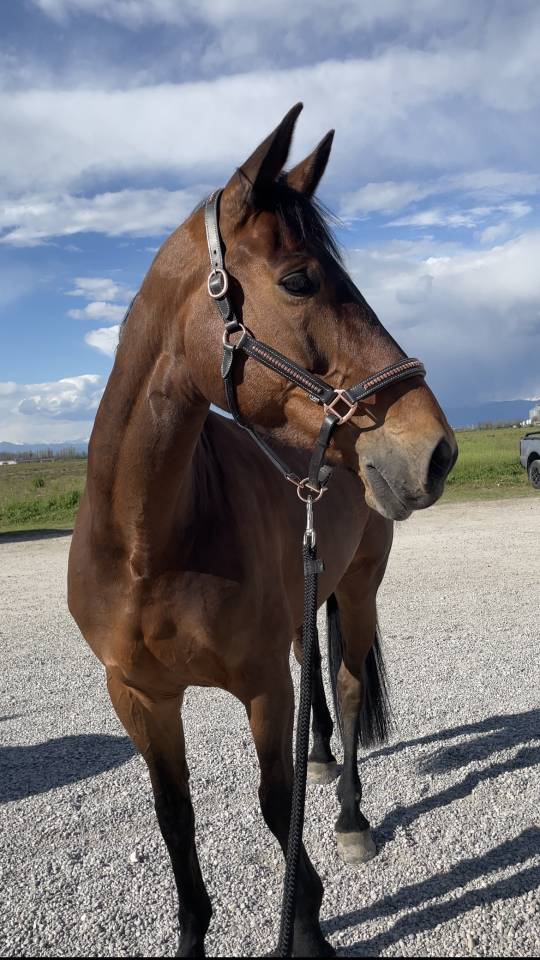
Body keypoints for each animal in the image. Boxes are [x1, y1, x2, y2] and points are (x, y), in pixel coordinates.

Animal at [68, 103, 457, 957]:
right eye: (300, 280)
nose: (436, 450)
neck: (148, 545)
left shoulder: (259, 687)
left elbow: (279, 806)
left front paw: (306, 923)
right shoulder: (139, 697)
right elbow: (174, 818)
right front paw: (191, 935)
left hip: (358, 589)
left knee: (344, 686)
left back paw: (349, 815)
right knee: (316, 675)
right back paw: (324, 761)